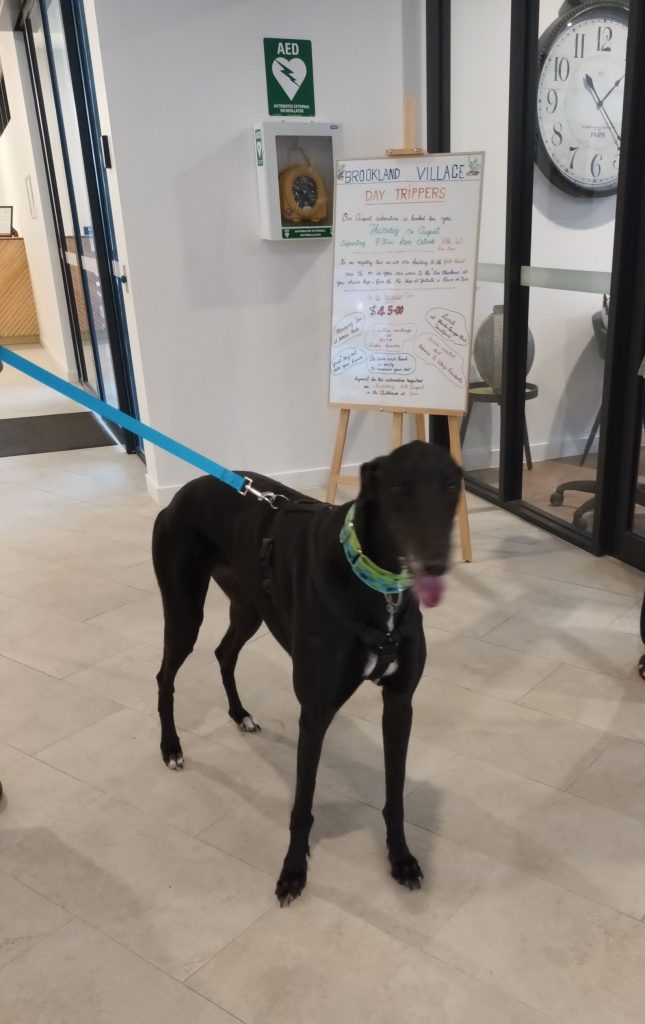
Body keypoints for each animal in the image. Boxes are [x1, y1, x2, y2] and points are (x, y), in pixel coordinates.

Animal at [153, 440, 462, 905]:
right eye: (398, 489)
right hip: (184, 611)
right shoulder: (315, 711)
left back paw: (240, 714)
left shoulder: (399, 702)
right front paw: (293, 871)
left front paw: (401, 858)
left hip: (248, 607)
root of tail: (180, 495)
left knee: (225, 653)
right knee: (165, 677)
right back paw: (171, 747)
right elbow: (302, 805)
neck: (372, 582)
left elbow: (395, 793)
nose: (435, 565)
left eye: (449, 486)